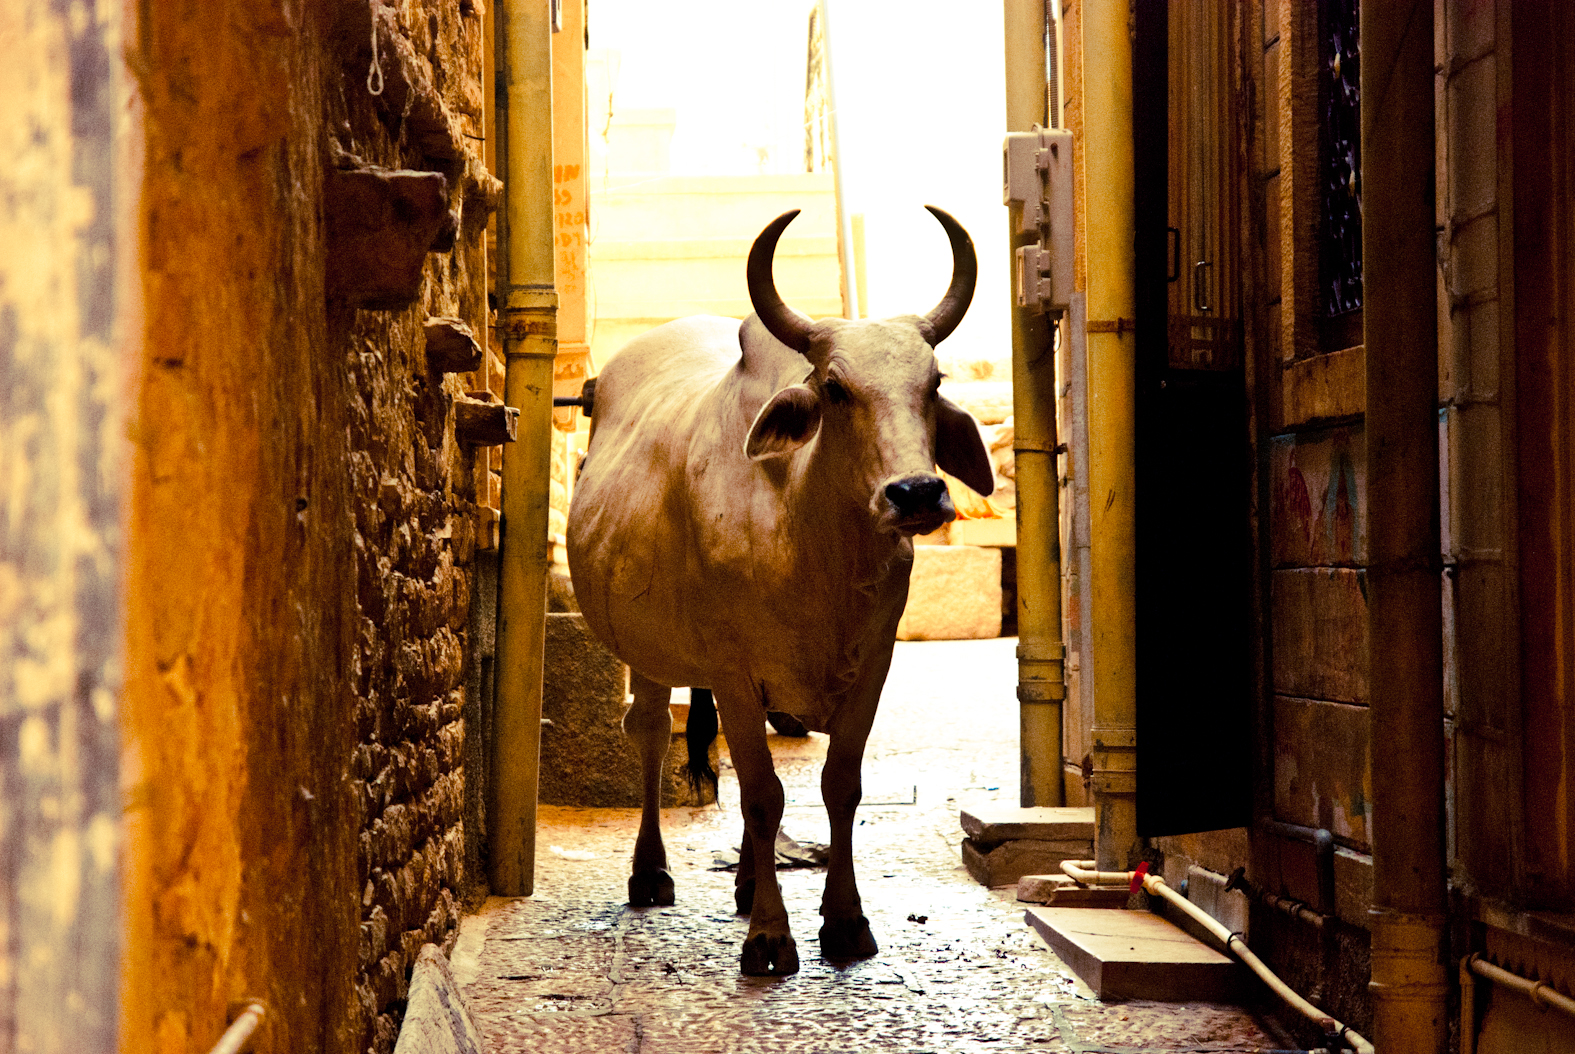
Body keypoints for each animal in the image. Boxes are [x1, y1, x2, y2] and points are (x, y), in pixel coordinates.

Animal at [565, 206, 994, 976]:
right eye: (834, 388)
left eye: (933, 380)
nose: (916, 493)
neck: (809, 545)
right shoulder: (734, 671)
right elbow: (764, 795)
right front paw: (769, 938)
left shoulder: (872, 665)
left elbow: (838, 786)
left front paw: (844, 922)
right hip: (649, 653)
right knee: (651, 734)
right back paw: (650, 872)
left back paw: (741, 883)